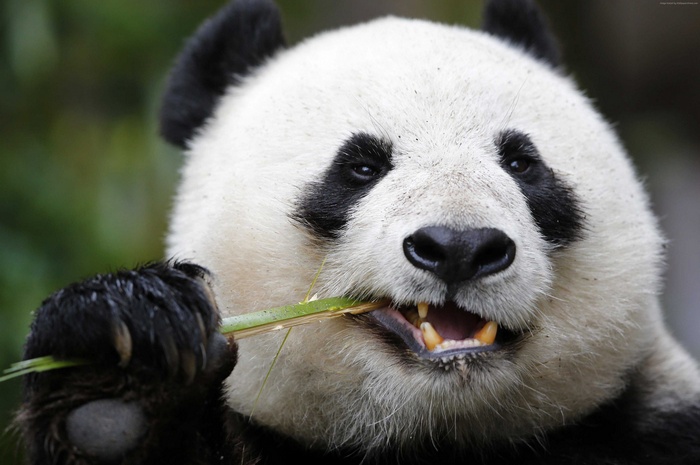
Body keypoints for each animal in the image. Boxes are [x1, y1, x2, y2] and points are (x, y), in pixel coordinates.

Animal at [18, 0, 700, 464]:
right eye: (362, 166)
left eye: (521, 163)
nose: (459, 248)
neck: (431, 432)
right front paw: (122, 375)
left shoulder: (650, 423)